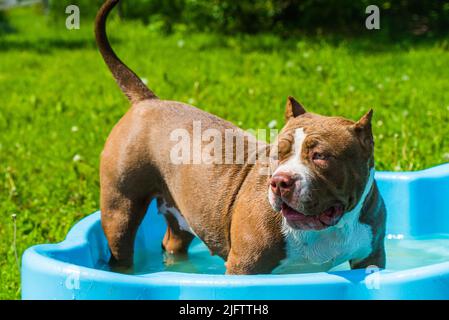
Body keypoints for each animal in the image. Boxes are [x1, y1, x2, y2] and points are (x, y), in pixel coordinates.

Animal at [94, 0, 384, 276]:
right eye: (277, 154)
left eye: (320, 156)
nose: (280, 182)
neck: (328, 230)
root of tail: (147, 101)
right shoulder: (245, 267)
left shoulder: (372, 256)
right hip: (120, 207)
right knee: (121, 244)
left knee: (174, 240)